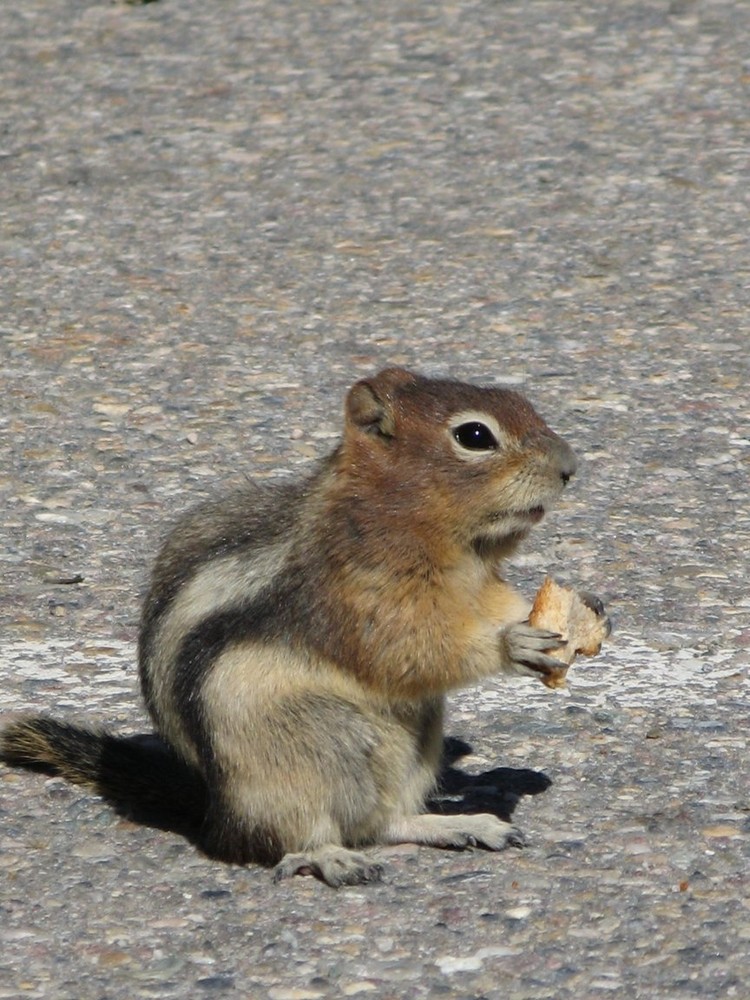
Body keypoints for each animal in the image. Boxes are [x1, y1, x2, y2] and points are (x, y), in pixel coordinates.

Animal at [0, 366, 604, 884]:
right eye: (475, 435)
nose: (570, 466)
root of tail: (214, 811)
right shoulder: (357, 596)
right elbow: (408, 647)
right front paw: (512, 643)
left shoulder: (482, 587)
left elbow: (501, 605)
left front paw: (589, 610)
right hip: (294, 764)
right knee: (292, 836)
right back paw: (328, 857)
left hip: (412, 743)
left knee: (384, 823)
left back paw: (463, 825)